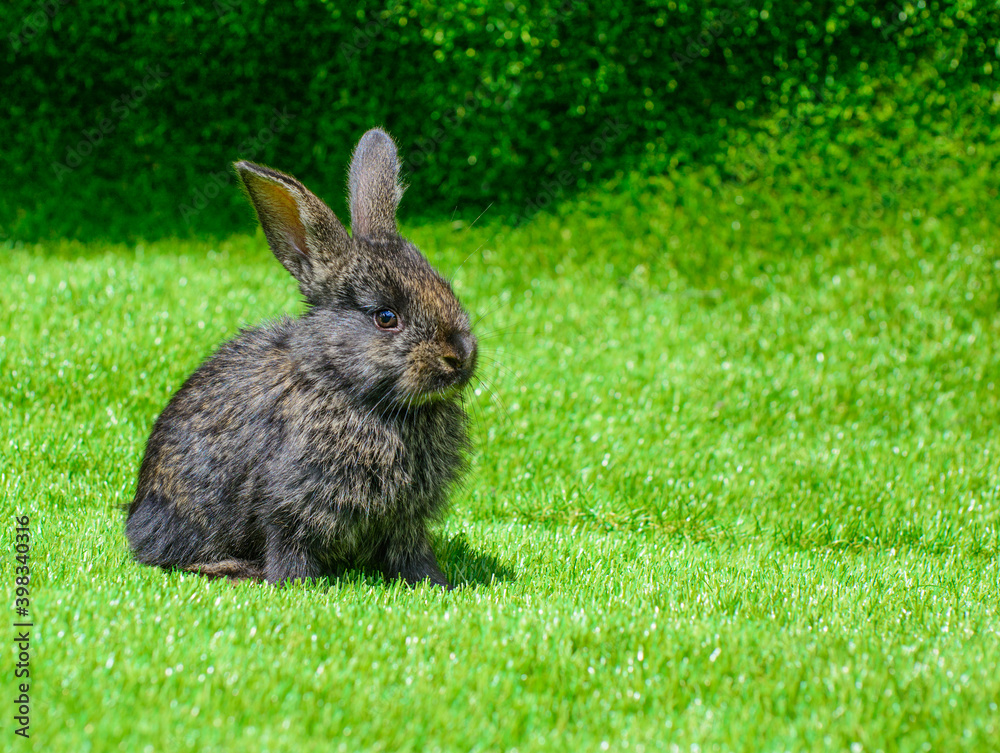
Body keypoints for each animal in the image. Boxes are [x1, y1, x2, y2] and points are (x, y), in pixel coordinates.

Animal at [125, 128, 477, 589]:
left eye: (446, 287)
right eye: (386, 317)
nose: (460, 356)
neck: (345, 386)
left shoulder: (407, 519)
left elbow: (411, 553)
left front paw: (434, 583)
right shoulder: (290, 503)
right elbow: (290, 547)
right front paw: (297, 585)